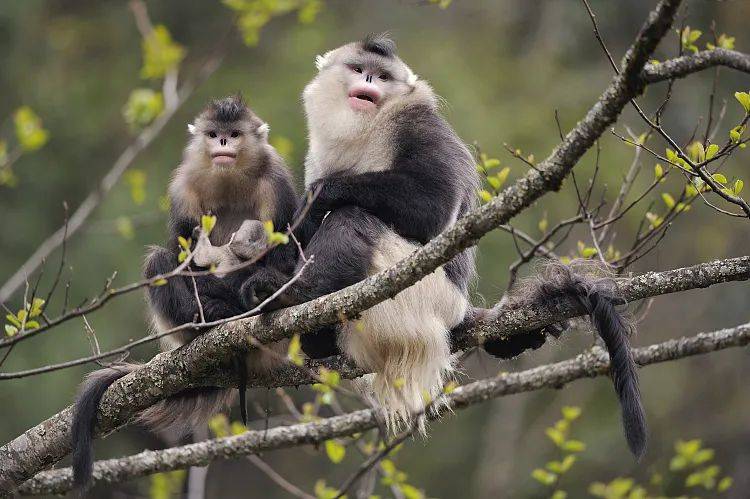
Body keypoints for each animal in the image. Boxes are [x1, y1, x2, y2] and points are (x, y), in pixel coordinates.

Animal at [70, 95, 298, 490]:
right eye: (214, 134)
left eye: (234, 134)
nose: (222, 143)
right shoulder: (184, 188)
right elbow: (178, 250)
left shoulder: (277, 183)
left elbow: (287, 250)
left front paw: (254, 282)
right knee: (158, 262)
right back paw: (209, 317)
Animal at [245, 33, 648, 458]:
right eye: (358, 69)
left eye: (382, 76)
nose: (368, 79)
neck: (367, 129)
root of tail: (459, 310)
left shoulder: (417, 123)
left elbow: (431, 204)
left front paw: (318, 198)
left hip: (424, 294)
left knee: (351, 218)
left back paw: (294, 293)